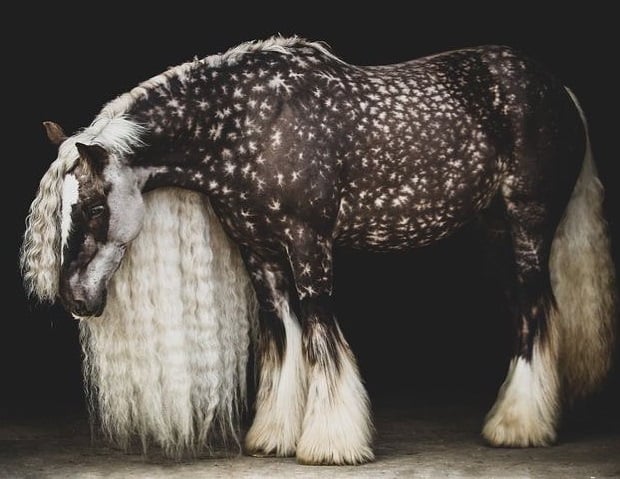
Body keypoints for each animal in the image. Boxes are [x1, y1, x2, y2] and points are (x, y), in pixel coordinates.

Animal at [19, 34, 616, 464]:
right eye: (61, 211)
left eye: (93, 209)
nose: (75, 300)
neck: (246, 122)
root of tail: (558, 90)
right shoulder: (259, 251)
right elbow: (284, 335)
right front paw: (275, 435)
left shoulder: (308, 243)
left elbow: (318, 329)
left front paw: (331, 442)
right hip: (495, 235)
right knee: (522, 312)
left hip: (528, 226)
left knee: (535, 313)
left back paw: (519, 426)